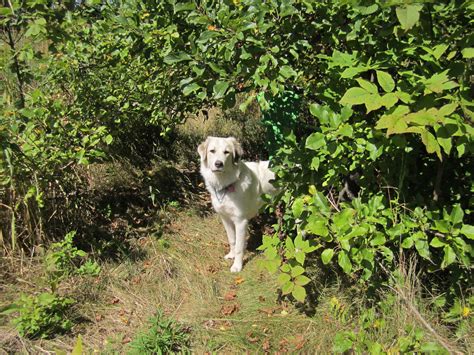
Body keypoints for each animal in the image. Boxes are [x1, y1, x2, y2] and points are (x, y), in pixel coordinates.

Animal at [197, 136, 278, 272]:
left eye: (227, 152)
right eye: (212, 151)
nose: (218, 164)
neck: (226, 184)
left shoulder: (241, 221)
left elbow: (240, 247)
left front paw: (237, 266)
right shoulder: (225, 218)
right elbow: (232, 240)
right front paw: (231, 255)